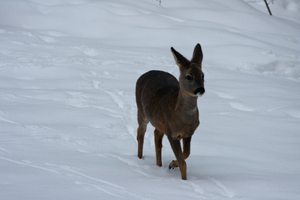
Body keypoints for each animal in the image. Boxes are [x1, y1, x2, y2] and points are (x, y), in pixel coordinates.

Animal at [135, 43, 205, 180]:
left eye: (202, 75)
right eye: (189, 76)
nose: (201, 89)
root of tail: (146, 73)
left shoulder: (188, 133)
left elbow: (186, 154)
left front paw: (172, 164)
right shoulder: (171, 133)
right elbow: (183, 162)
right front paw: (184, 180)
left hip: (160, 123)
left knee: (156, 135)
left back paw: (159, 165)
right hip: (141, 110)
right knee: (140, 133)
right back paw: (139, 159)